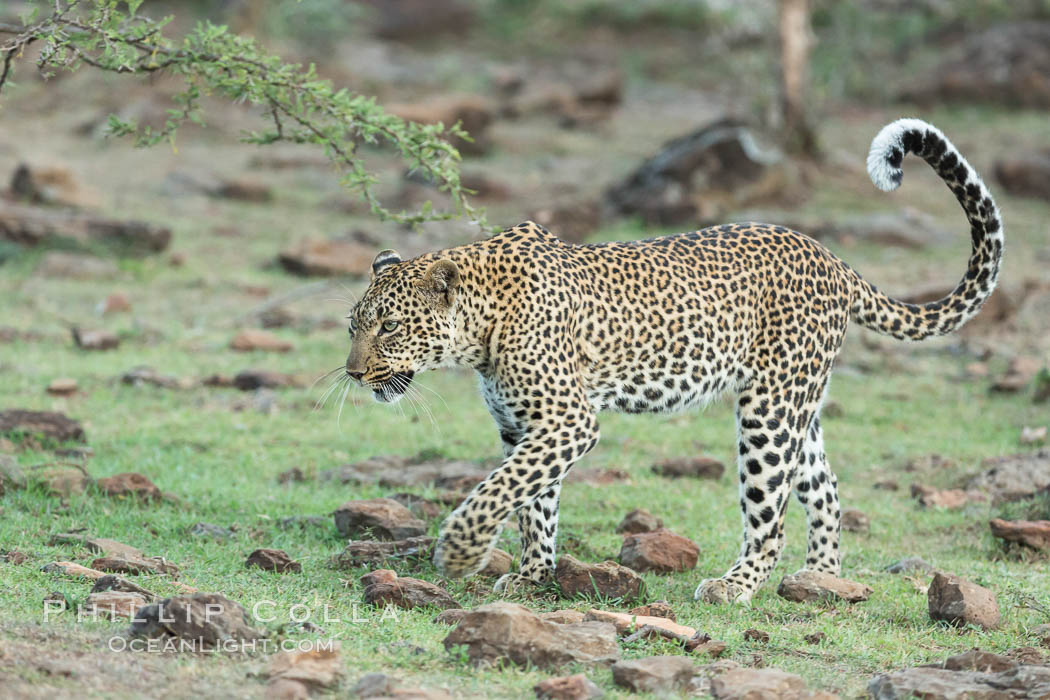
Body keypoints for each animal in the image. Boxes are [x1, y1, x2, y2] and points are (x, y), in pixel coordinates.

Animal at [342, 119, 999, 604]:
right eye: (354, 326)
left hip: (767, 412)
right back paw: (822, 582)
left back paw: (734, 587)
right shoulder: (521, 426)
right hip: (797, 406)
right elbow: (533, 501)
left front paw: (459, 550)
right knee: (825, 489)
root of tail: (832, 259)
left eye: (390, 327)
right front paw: (532, 575)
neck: (479, 328)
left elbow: (502, 488)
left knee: (771, 516)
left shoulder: (568, 421)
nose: (354, 373)